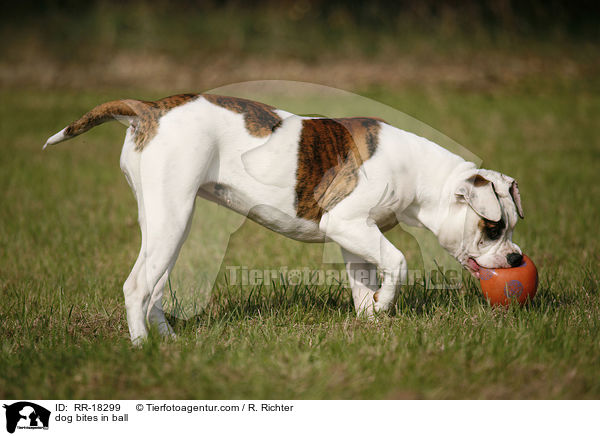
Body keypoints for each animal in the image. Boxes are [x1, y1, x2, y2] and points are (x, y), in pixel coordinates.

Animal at [43, 93, 524, 342]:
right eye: (492, 228)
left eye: (510, 228)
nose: (517, 259)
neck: (420, 173)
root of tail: (149, 108)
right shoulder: (346, 224)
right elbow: (399, 262)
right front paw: (385, 305)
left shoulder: (356, 237)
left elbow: (364, 282)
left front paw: (370, 319)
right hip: (172, 219)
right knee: (136, 286)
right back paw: (143, 347)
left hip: (163, 224)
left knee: (153, 286)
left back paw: (168, 342)